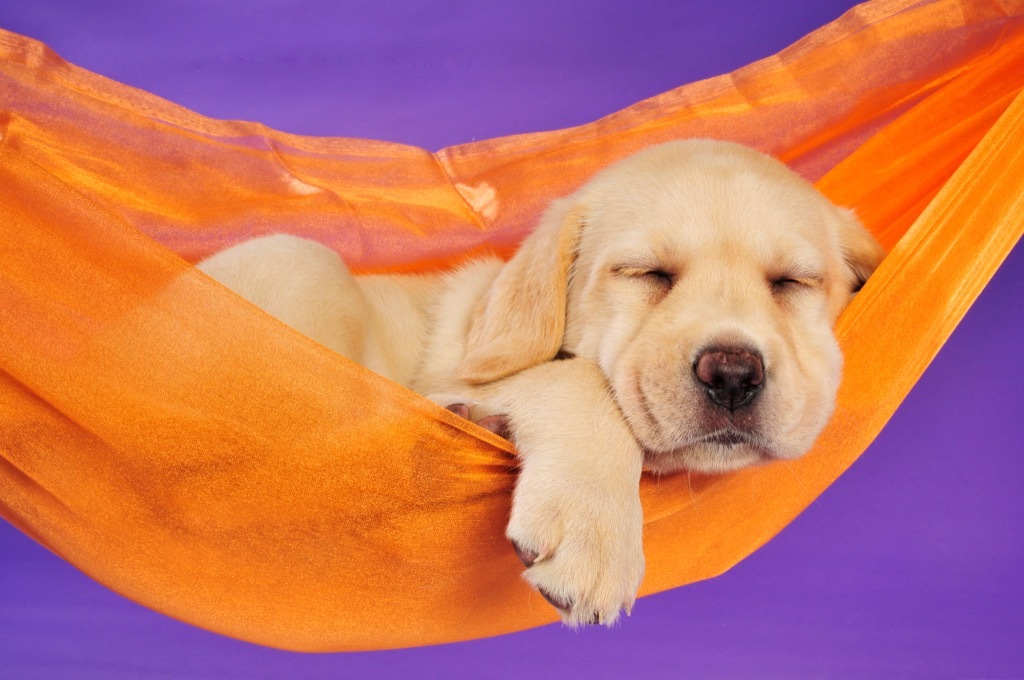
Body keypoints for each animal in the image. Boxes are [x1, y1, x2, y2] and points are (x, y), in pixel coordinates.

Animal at [195, 138, 884, 626]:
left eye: (792, 282)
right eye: (646, 273)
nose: (734, 375)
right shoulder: (459, 372)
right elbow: (578, 380)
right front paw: (593, 533)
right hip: (297, 259)